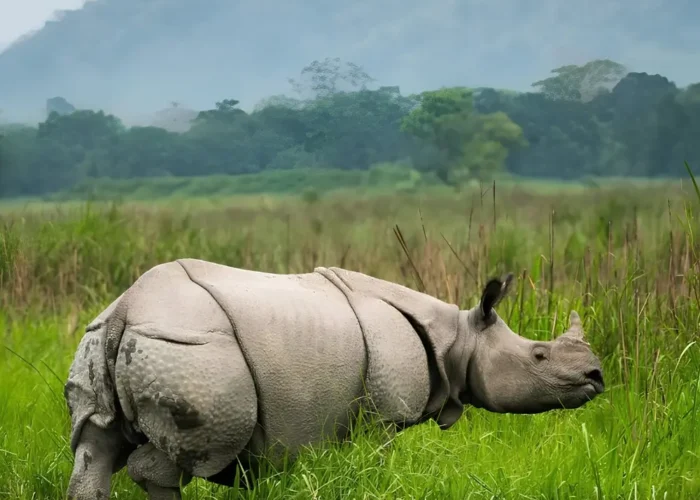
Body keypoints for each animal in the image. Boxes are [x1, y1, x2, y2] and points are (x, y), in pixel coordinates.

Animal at [64, 259, 604, 499]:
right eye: (538, 356)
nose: (596, 376)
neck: (458, 337)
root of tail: (127, 310)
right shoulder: (385, 414)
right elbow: (380, 462)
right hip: (196, 353)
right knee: (184, 456)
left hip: (100, 338)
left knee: (95, 445)